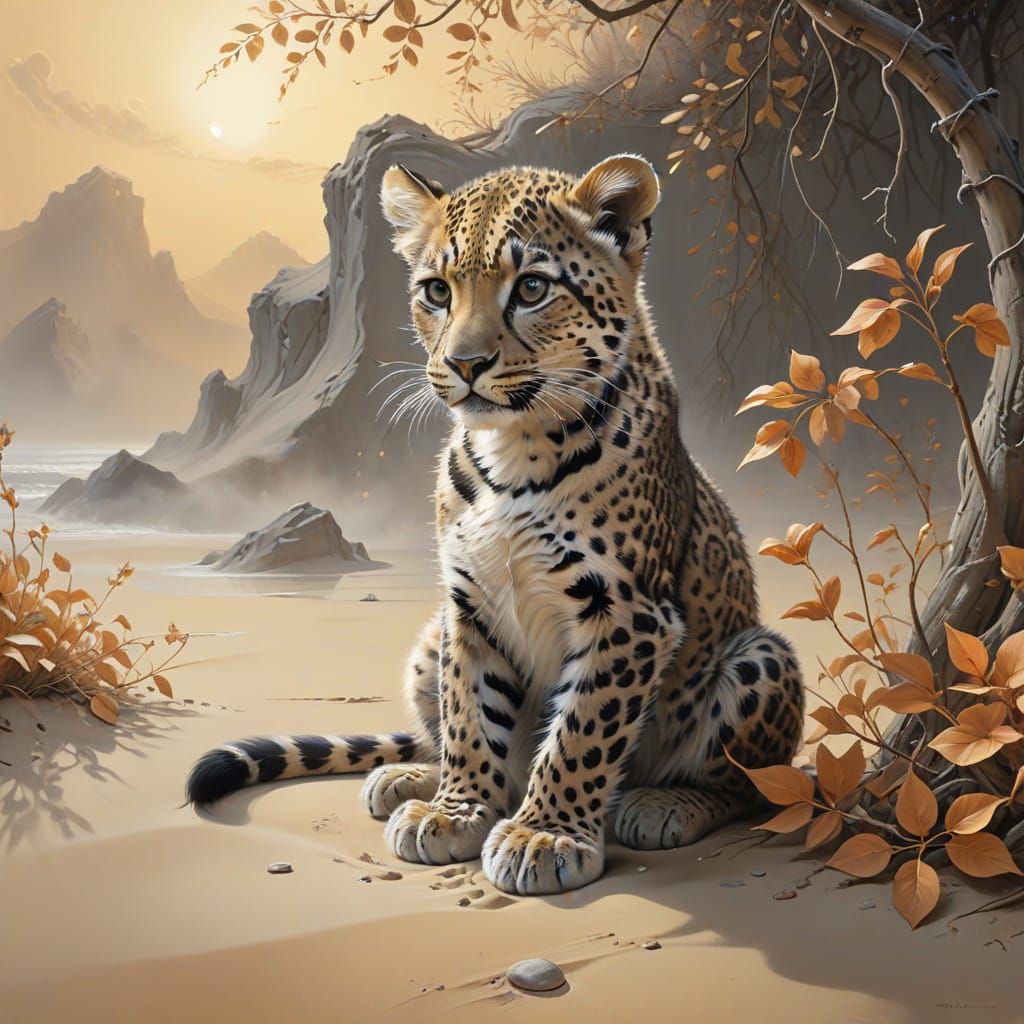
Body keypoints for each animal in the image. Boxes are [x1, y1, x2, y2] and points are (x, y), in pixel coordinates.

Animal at [186, 154, 804, 896]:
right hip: (429, 639)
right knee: (440, 727)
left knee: (751, 786)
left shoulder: (628, 613)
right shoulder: (468, 603)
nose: (465, 364)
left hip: (761, 658)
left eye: (532, 287)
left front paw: (546, 833)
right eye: (436, 291)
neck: (515, 451)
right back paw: (406, 777)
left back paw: (664, 803)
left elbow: (581, 730)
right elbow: (469, 714)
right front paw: (456, 810)